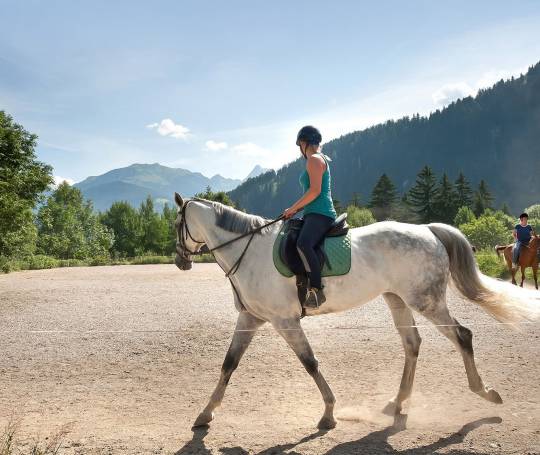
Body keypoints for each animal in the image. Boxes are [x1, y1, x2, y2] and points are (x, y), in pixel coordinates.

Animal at [175, 195, 536, 432]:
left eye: (177, 223)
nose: (180, 261)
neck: (248, 252)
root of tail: (428, 230)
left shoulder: (284, 321)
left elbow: (310, 363)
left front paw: (329, 414)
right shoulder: (250, 318)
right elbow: (229, 364)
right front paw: (205, 414)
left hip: (427, 301)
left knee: (462, 335)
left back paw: (484, 392)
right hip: (397, 299)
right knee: (412, 344)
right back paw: (397, 402)